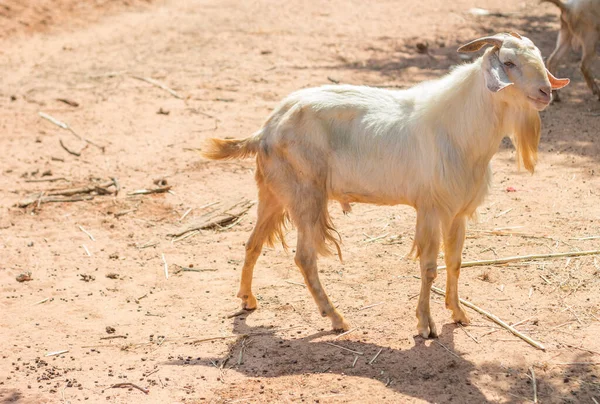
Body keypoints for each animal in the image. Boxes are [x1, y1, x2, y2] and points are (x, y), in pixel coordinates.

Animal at [202, 33, 568, 340]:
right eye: (509, 63)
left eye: (538, 58)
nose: (545, 93)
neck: (459, 127)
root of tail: (266, 130)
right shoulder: (430, 208)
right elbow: (429, 267)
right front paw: (426, 325)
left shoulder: (458, 211)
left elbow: (455, 262)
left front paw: (459, 313)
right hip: (307, 196)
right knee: (304, 257)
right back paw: (336, 318)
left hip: (274, 193)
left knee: (252, 243)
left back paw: (248, 299)